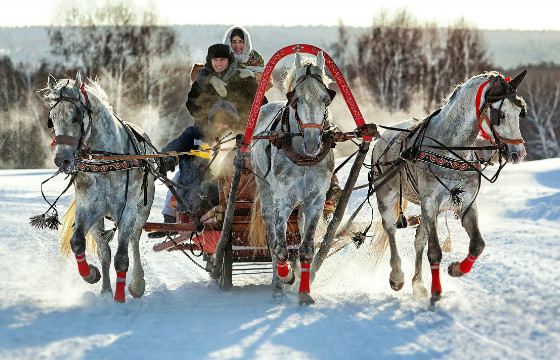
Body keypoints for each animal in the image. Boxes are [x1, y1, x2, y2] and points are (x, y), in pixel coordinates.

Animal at [43, 73, 158, 304]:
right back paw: (105, 289)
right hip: (99, 219)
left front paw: (120, 297)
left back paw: (137, 284)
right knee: (105, 251)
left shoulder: (127, 210)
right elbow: (78, 243)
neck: (106, 160)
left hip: (142, 210)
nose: (62, 160)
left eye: (76, 117)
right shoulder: (89, 208)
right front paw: (91, 275)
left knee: (134, 240)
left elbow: (122, 256)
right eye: (52, 120)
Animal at [250, 50, 336, 304]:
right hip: (266, 192)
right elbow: (280, 247)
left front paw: (304, 292)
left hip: (302, 206)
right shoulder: (283, 201)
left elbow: (307, 248)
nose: (312, 143)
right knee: (272, 236)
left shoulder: (316, 201)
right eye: (296, 100)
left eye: (325, 99)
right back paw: (278, 283)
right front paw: (286, 278)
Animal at [370, 69, 528, 304]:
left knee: (419, 240)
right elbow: (435, 251)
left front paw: (456, 269)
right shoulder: (429, 203)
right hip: (386, 195)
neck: (449, 148)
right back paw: (397, 276)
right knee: (390, 229)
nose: (518, 153)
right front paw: (436, 292)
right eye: (500, 114)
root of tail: (382, 138)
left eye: (520, 111)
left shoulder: (466, 203)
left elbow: (477, 245)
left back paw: (418, 284)